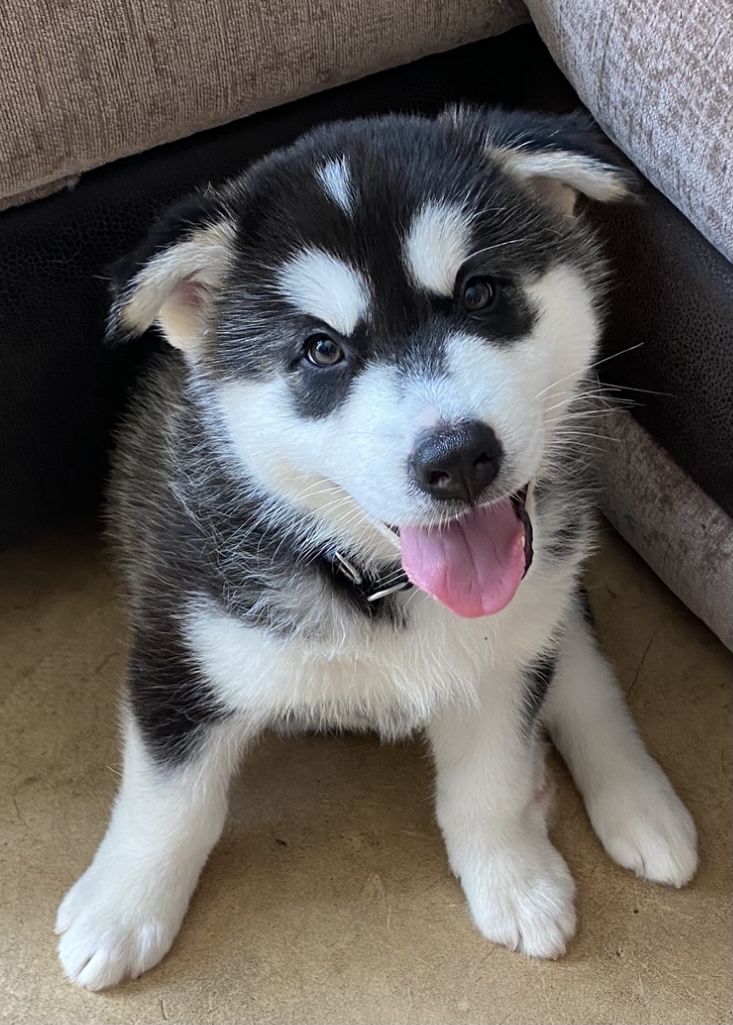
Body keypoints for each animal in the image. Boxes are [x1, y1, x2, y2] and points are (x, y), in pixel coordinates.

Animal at [57, 108, 701, 988]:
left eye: (479, 292)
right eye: (321, 350)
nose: (458, 457)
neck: (377, 580)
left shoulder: (502, 656)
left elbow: (489, 781)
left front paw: (514, 874)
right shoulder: (183, 642)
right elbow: (171, 799)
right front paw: (121, 907)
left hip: (548, 591)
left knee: (583, 669)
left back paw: (638, 801)